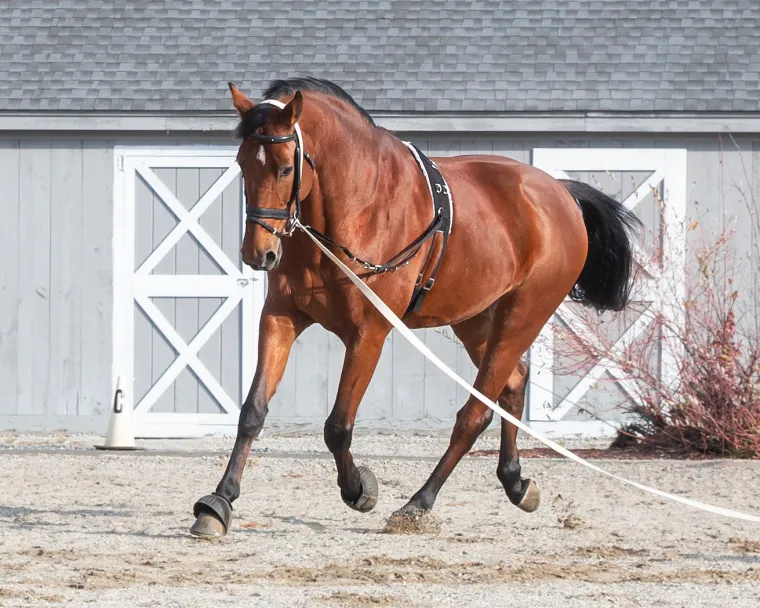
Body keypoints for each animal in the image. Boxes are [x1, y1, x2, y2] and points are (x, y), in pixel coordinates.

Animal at [189, 77, 641, 538]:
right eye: (243, 164)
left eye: (284, 168)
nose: (257, 253)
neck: (353, 207)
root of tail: (558, 194)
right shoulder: (281, 318)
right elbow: (253, 411)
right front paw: (218, 503)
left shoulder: (368, 333)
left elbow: (337, 426)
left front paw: (359, 490)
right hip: (476, 320)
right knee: (513, 383)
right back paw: (515, 482)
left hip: (522, 316)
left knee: (475, 414)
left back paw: (419, 502)